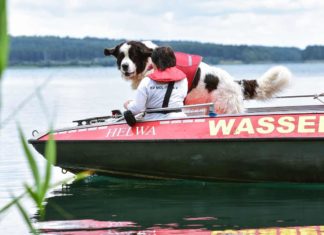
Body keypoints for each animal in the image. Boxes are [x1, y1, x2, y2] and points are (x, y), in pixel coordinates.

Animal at [104, 40, 292, 114]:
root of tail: (236, 83)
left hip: (228, 107)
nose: (124, 66)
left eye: (133, 56)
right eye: (120, 56)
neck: (150, 62)